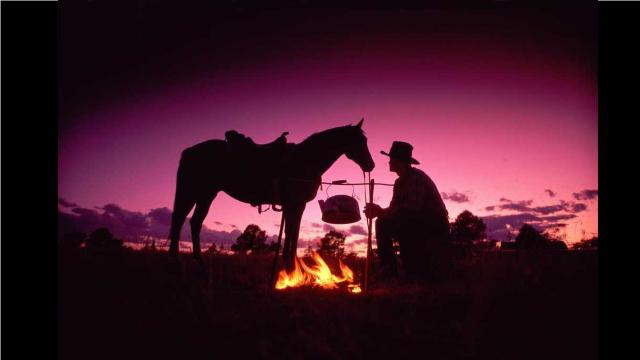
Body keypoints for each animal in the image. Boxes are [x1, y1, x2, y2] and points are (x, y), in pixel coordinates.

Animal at [168, 119, 376, 268]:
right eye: (360, 141)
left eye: (366, 140)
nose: (370, 165)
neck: (306, 160)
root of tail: (190, 151)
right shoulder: (294, 204)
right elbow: (291, 233)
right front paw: (290, 266)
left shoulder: (297, 206)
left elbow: (293, 233)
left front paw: (291, 264)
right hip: (192, 192)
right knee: (179, 219)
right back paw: (175, 260)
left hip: (206, 194)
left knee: (195, 222)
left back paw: (198, 260)